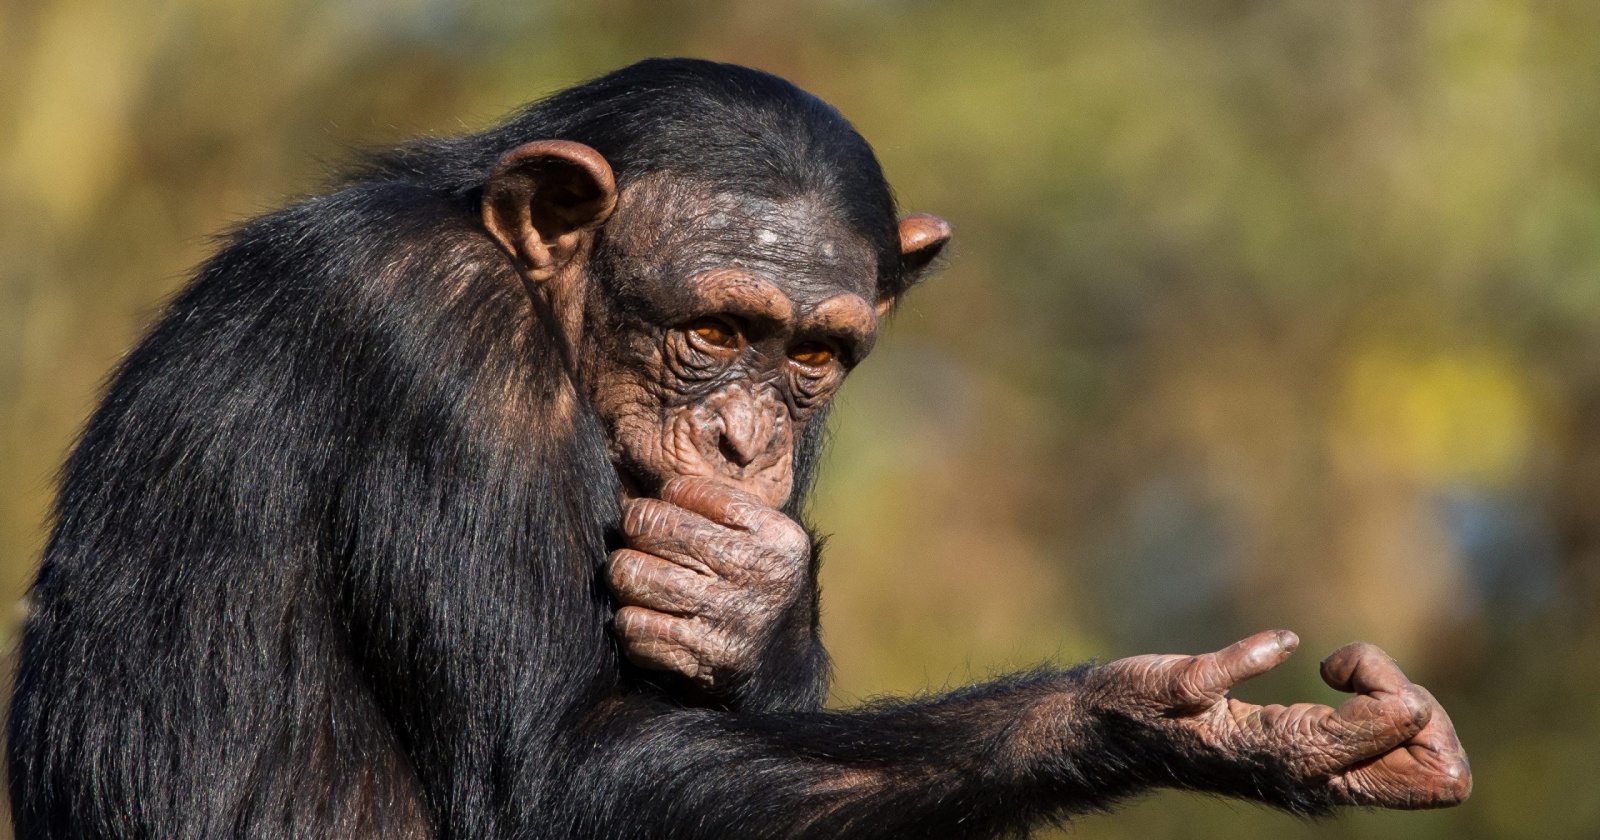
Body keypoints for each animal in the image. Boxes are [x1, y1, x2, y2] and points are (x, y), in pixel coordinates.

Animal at [6, 58, 1465, 838]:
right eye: (714, 329)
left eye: (811, 358)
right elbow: (552, 773)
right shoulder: (437, 346)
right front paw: (1152, 716)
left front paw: (749, 595)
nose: (744, 435)